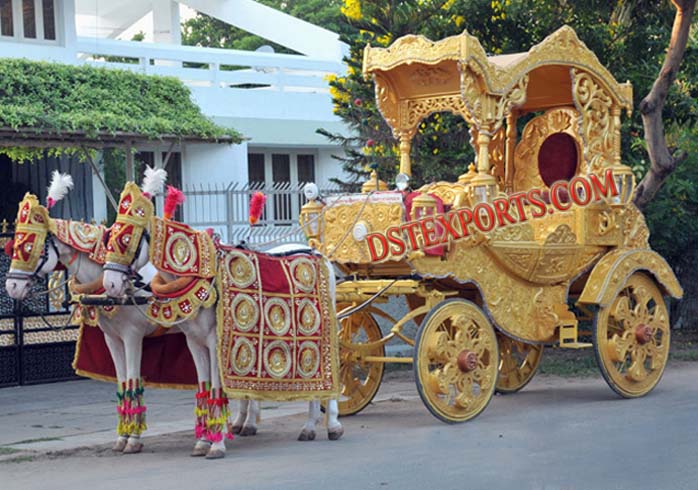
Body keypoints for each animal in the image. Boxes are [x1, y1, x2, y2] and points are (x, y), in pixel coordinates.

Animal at [102, 234, 342, 460]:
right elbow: (203, 387)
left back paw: (330, 425)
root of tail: (314, 251)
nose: (110, 285)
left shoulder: (140, 336)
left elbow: (215, 387)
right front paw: (204, 441)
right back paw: (307, 427)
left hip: (323, 331)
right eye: (108, 239)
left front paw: (215, 443)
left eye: (126, 240)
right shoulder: (191, 341)